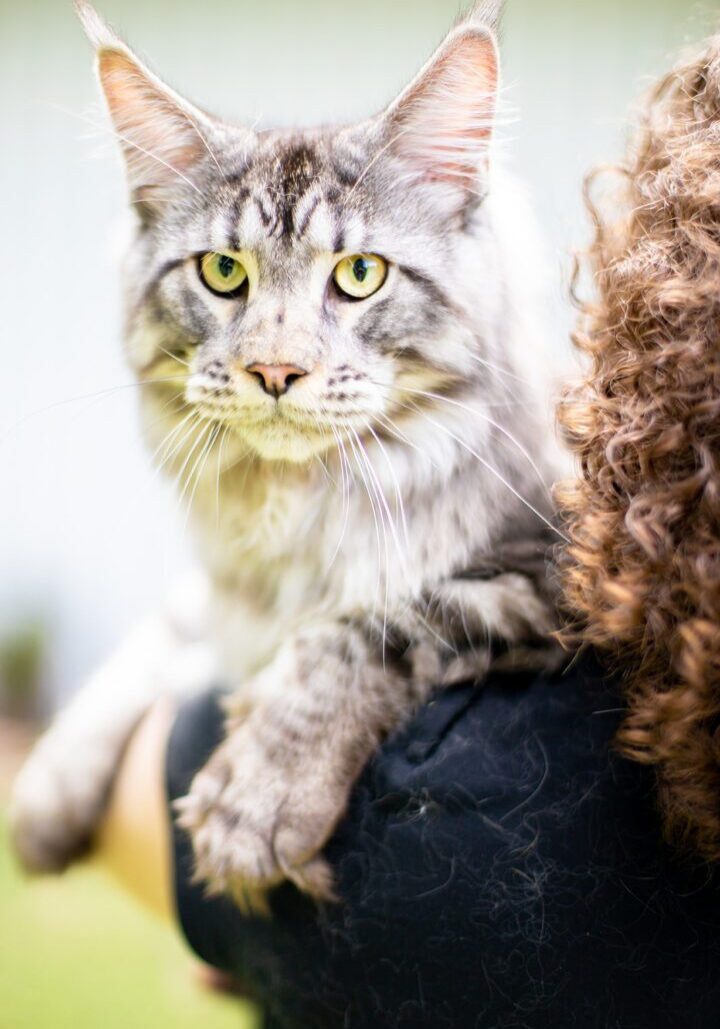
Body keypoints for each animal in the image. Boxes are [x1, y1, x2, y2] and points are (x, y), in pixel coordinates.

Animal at [9, 0, 563, 901]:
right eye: (223, 271)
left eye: (361, 273)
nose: (275, 369)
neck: (298, 504)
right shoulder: (224, 594)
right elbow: (158, 639)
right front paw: (49, 788)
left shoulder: (548, 577)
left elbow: (367, 626)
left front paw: (259, 796)